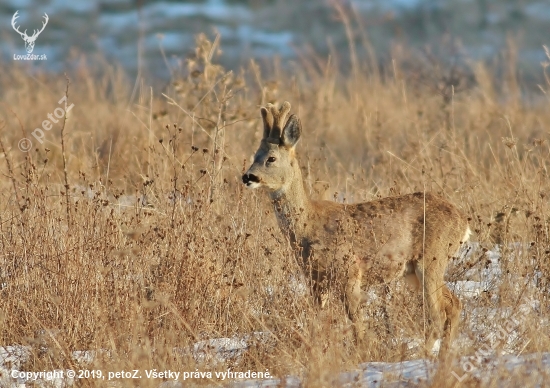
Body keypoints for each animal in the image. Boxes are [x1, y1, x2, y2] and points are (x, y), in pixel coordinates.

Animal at [244, 101, 472, 354]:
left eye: (271, 158)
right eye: (255, 155)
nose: (248, 176)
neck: (309, 226)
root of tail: (463, 221)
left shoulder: (350, 271)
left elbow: (356, 322)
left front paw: (362, 352)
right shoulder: (314, 278)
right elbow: (317, 319)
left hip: (431, 259)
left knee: (438, 313)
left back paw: (423, 354)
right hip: (413, 271)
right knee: (454, 304)